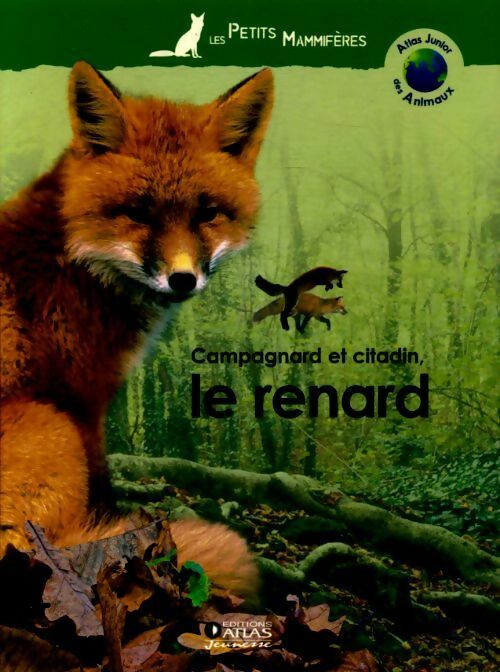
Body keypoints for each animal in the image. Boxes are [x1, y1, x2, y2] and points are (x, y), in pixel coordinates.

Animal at [0, 62, 273, 602]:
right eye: (138, 212)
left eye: (207, 213)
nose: (183, 279)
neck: (75, 256)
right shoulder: (81, 400)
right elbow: (102, 495)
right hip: (50, 425)